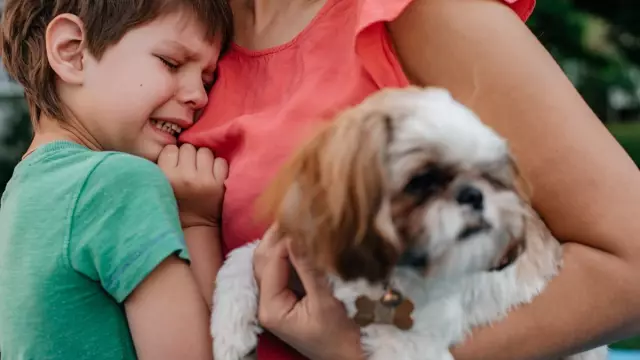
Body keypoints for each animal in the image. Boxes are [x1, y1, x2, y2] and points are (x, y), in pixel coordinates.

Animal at [211, 86, 608, 358]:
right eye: (422, 180)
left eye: (489, 176)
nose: (474, 195)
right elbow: (238, 261)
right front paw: (230, 335)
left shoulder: (415, 341)